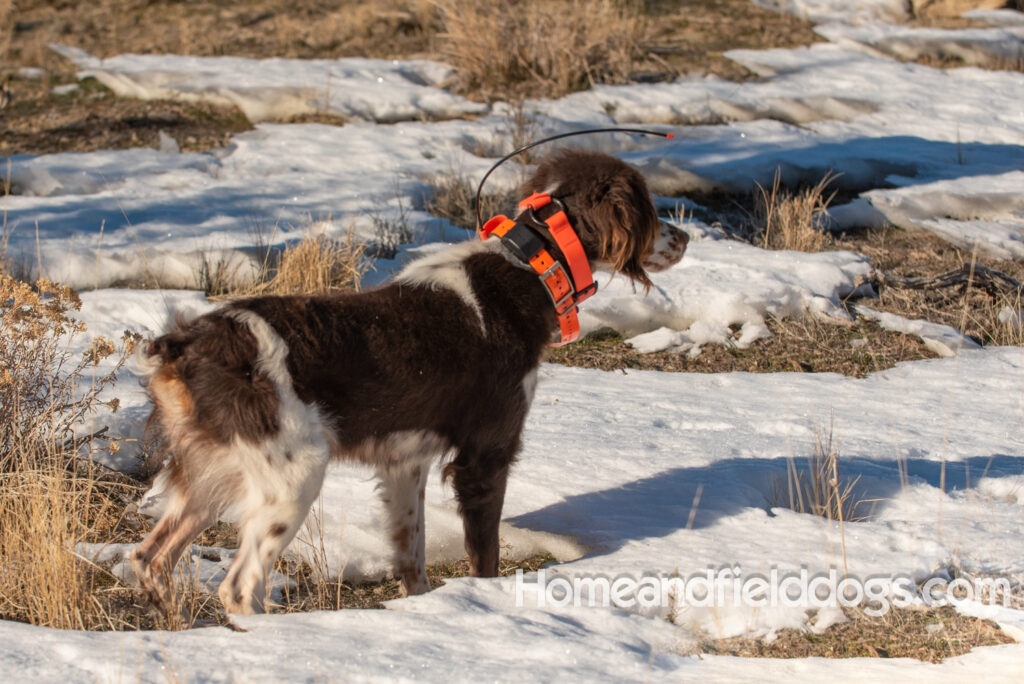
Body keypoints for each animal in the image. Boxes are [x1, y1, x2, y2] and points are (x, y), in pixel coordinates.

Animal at [130, 149, 688, 614]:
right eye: (648, 207)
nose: (685, 237)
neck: (528, 268)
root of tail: (185, 343)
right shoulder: (485, 456)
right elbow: (484, 556)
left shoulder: (404, 463)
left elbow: (411, 557)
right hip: (291, 477)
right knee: (240, 587)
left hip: (212, 474)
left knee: (150, 558)